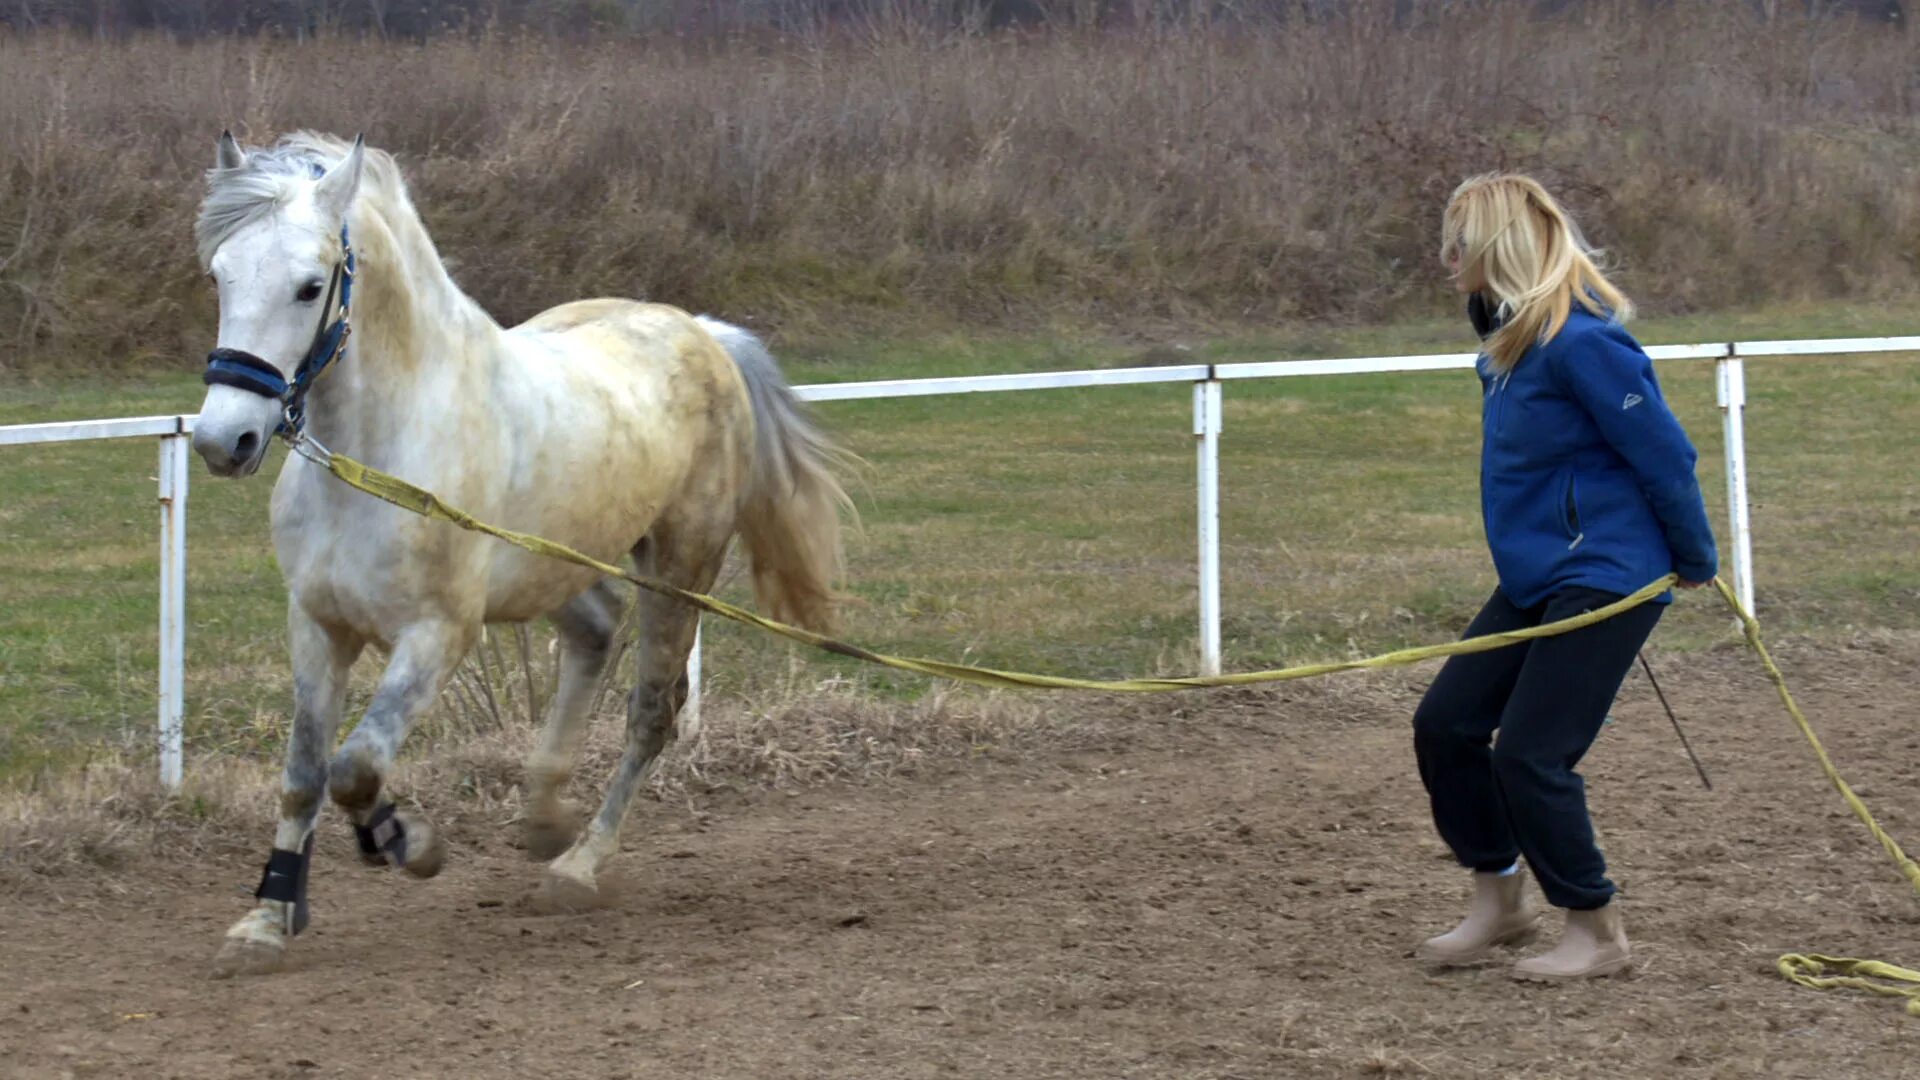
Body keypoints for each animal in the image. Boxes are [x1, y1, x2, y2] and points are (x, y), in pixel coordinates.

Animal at [192, 132, 848, 976]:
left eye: (310, 286)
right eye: (219, 273)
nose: (224, 440)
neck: (385, 448)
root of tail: (702, 332)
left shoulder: (438, 635)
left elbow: (356, 769)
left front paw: (411, 843)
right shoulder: (317, 626)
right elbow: (305, 776)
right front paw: (268, 920)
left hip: (680, 565)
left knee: (651, 711)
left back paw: (577, 866)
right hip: (557, 564)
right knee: (595, 634)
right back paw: (544, 821)